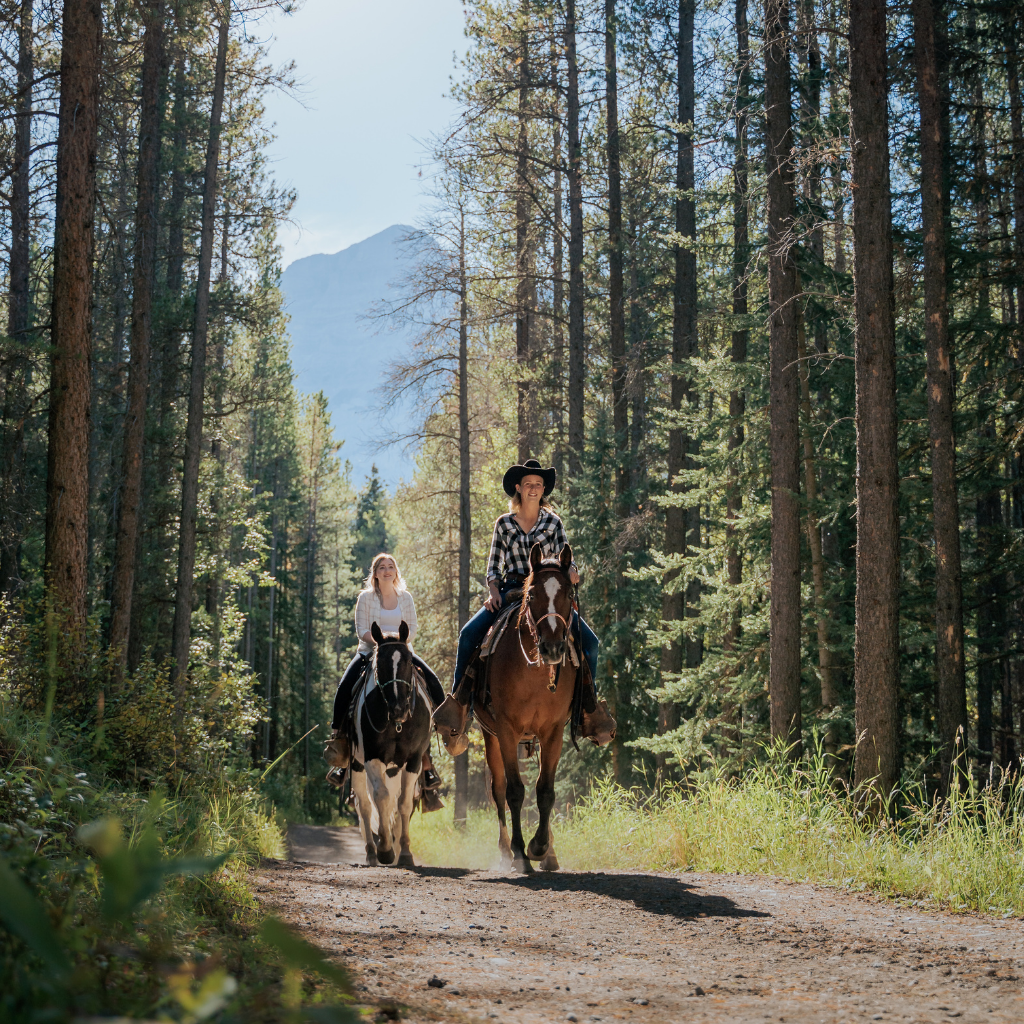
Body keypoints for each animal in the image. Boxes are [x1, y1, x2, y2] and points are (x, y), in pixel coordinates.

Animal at [352, 618, 432, 868]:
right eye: (380, 663)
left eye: (407, 660)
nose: (399, 709)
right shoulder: (371, 757)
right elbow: (381, 798)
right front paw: (385, 850)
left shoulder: (413, 760)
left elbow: (403, 804)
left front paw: (404, 852)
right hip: (357, 764)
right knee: (365, 806)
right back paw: (371, 852)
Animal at [475, 544, 581, 872]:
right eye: (531, 595)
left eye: (570, 593)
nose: (553, 648)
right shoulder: (507, 730)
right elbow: (514, 791)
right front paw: (521, 852)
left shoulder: (553, 732)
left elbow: (545, 791)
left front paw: (541, 847)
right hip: (491, 736)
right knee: (497, 790)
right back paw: (505, 851)